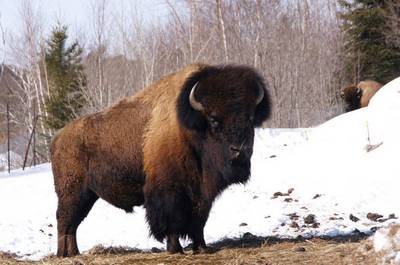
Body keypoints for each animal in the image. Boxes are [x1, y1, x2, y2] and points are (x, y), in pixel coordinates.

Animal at [51, 63, 272, 256]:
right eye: (213, 119)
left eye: (250, 118)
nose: (240, 150)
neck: (189, 128)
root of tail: (58, 137)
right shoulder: (169, 190)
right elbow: (172, 219)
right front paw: (175, 249)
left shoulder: (202, 194)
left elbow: (199, 221)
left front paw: (201, 248)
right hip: (72, 192)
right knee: (65, 220)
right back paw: (64, 254)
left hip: (87, 195)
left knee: (72, 224)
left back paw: (73, 253)